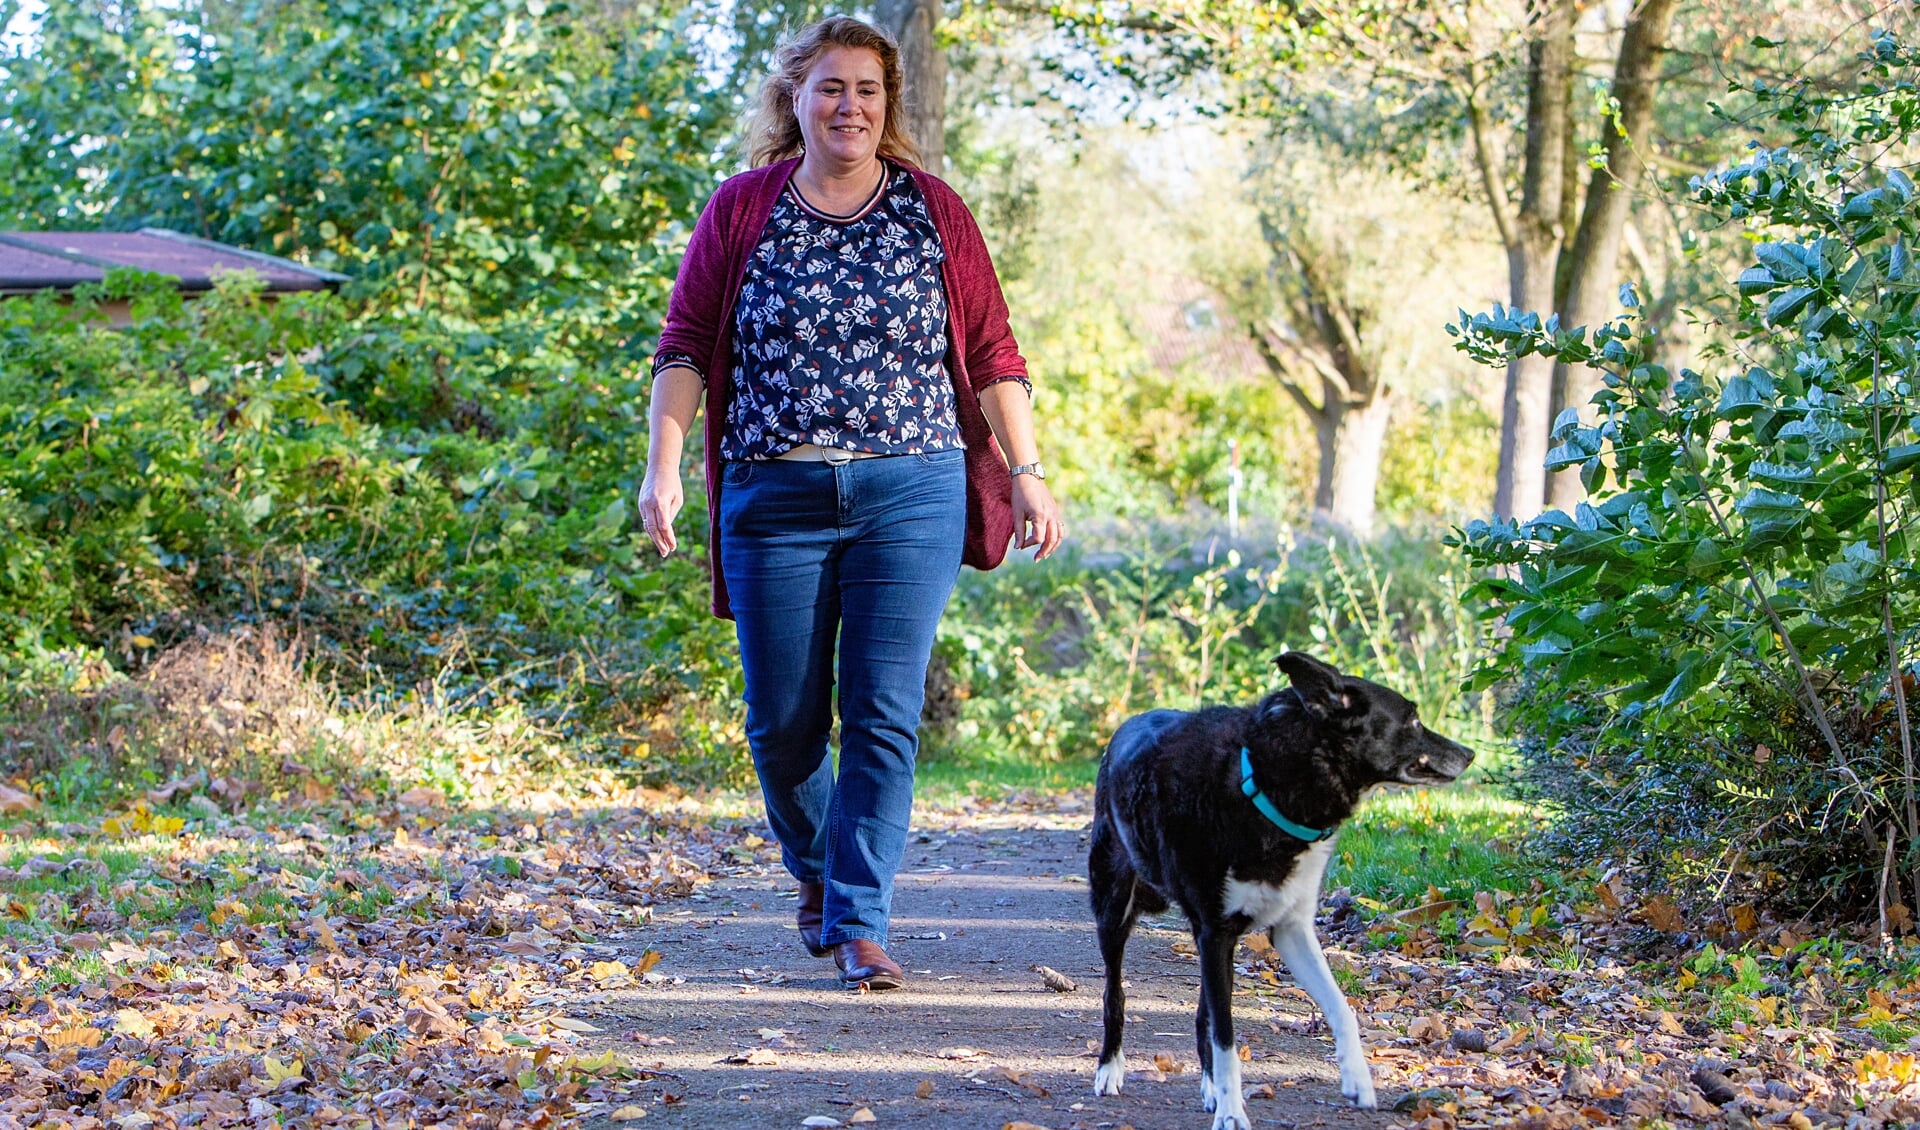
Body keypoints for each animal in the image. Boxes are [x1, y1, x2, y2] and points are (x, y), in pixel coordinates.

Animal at [1090, 648, 1474, 1120]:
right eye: (1414, 720)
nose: (1470, 753)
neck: (1264, 782)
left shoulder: (1290, 931)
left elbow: (1341, 1008)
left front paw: (1357, 1080)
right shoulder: (1215, 933)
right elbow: (1226, 1039)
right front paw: (1232, 1115)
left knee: (1204, 1014)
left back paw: (1210, 1086)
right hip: (1114, 910)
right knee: (1115, 996)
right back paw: (1111, 1068)